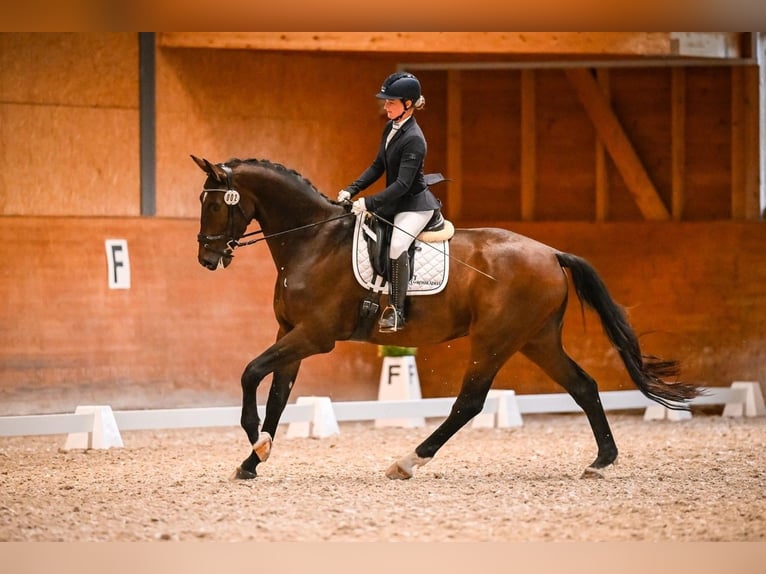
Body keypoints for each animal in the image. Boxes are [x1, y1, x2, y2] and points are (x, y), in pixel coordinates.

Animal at [192, 156, 704, 482]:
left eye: (215, 204)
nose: (207, 258)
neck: (312, 241)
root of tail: (552, 254)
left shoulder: (314, 335)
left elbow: (250, 373)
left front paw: (254, 441)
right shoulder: (290, 332)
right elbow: (278, 394)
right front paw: (254, 458)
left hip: (495, 340)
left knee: (470, 403)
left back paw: (407, 462)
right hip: (537, 340)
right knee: (583, 386)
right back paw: (602, 460)